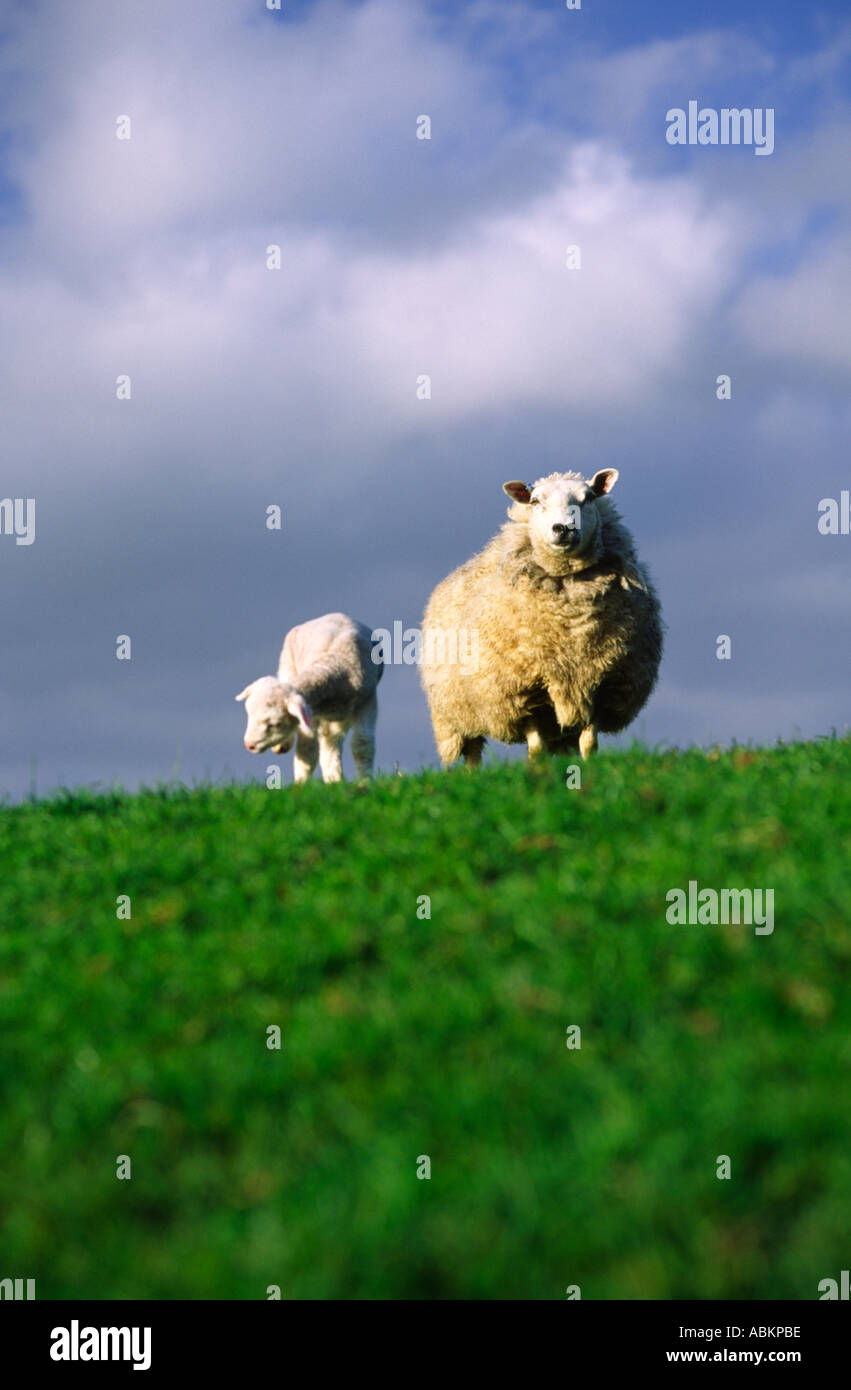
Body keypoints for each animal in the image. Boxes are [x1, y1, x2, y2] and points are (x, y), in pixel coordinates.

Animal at [232, 611, 378, 783]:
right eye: (249, 716)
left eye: (275, 724)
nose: (249, 745)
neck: (333, 668)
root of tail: (333, 614)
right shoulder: (312, 714)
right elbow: (307, 751)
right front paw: (301, 785)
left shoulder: (368, 701)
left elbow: (361, 744)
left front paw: (364, 782)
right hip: (287, 668)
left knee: (330, 745)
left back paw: (334, 780)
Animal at [422, 472, 661, 767]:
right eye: (535, 501)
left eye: (589, 497)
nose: (564, 528)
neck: (571, 623)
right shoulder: (525, 693)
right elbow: (536, 749)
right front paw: (537, 770)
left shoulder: (598, 683)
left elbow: (589, 743)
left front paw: (590, 767)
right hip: (457, 715)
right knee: (472, 753)